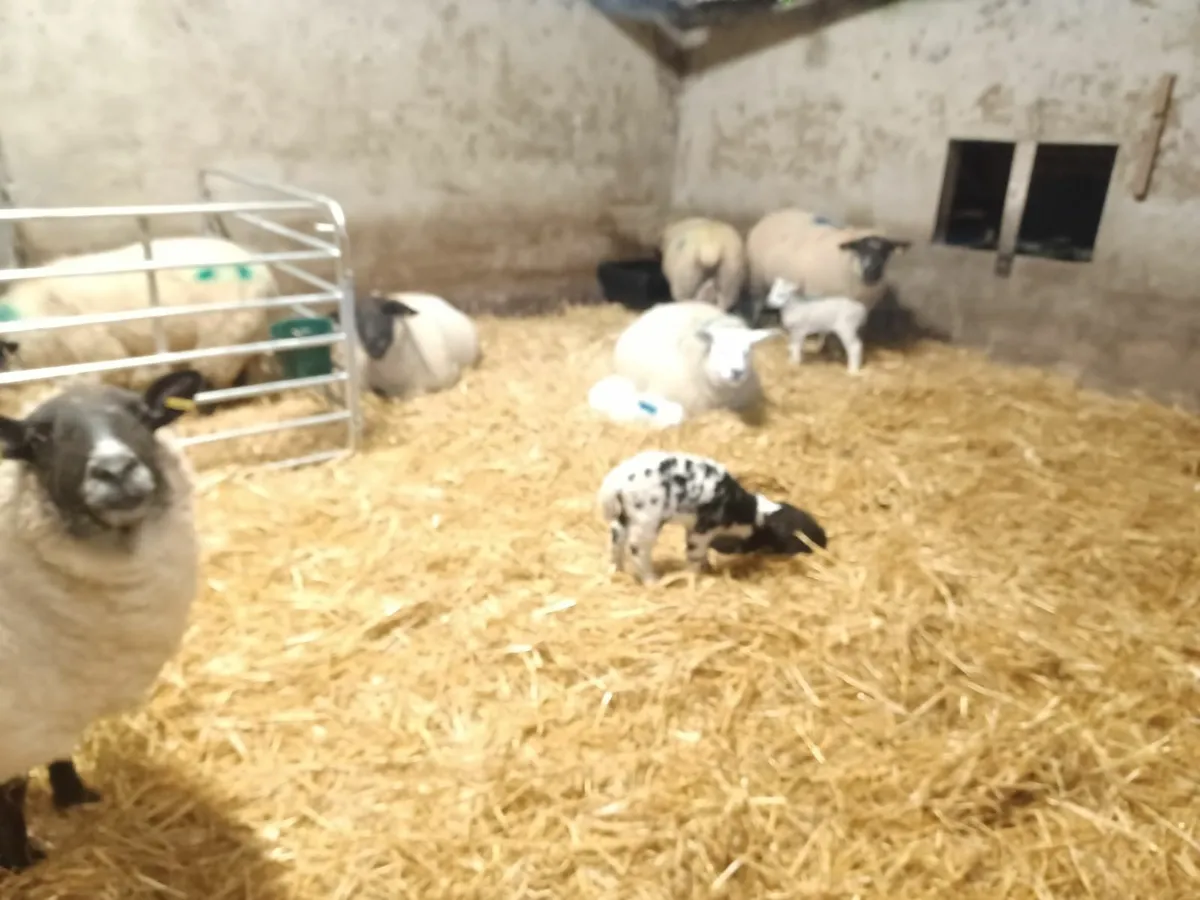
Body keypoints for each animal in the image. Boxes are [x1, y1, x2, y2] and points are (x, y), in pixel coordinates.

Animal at [0, 236, 280, 394]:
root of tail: (267, 278)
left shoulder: (99, 349)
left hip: (221, 339)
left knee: (212, 377)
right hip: (251, 334)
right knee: (260, 369)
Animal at [0, 368, 206, 871]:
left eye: (143, 415)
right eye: (38, 437)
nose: (115, 470)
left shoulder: (59, 697)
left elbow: (59, 754)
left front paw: (75, 796)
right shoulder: (15, 716)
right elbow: (13, 791)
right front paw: (19, 860)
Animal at [597, 449, 827, 584]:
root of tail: (615, 483)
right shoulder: (702, 530)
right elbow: (694, 555)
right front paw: (695, 575)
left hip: (624, 517)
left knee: (616, 540)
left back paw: (616, 570)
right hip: (646, 519)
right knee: (637, 550)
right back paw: (653, 580)